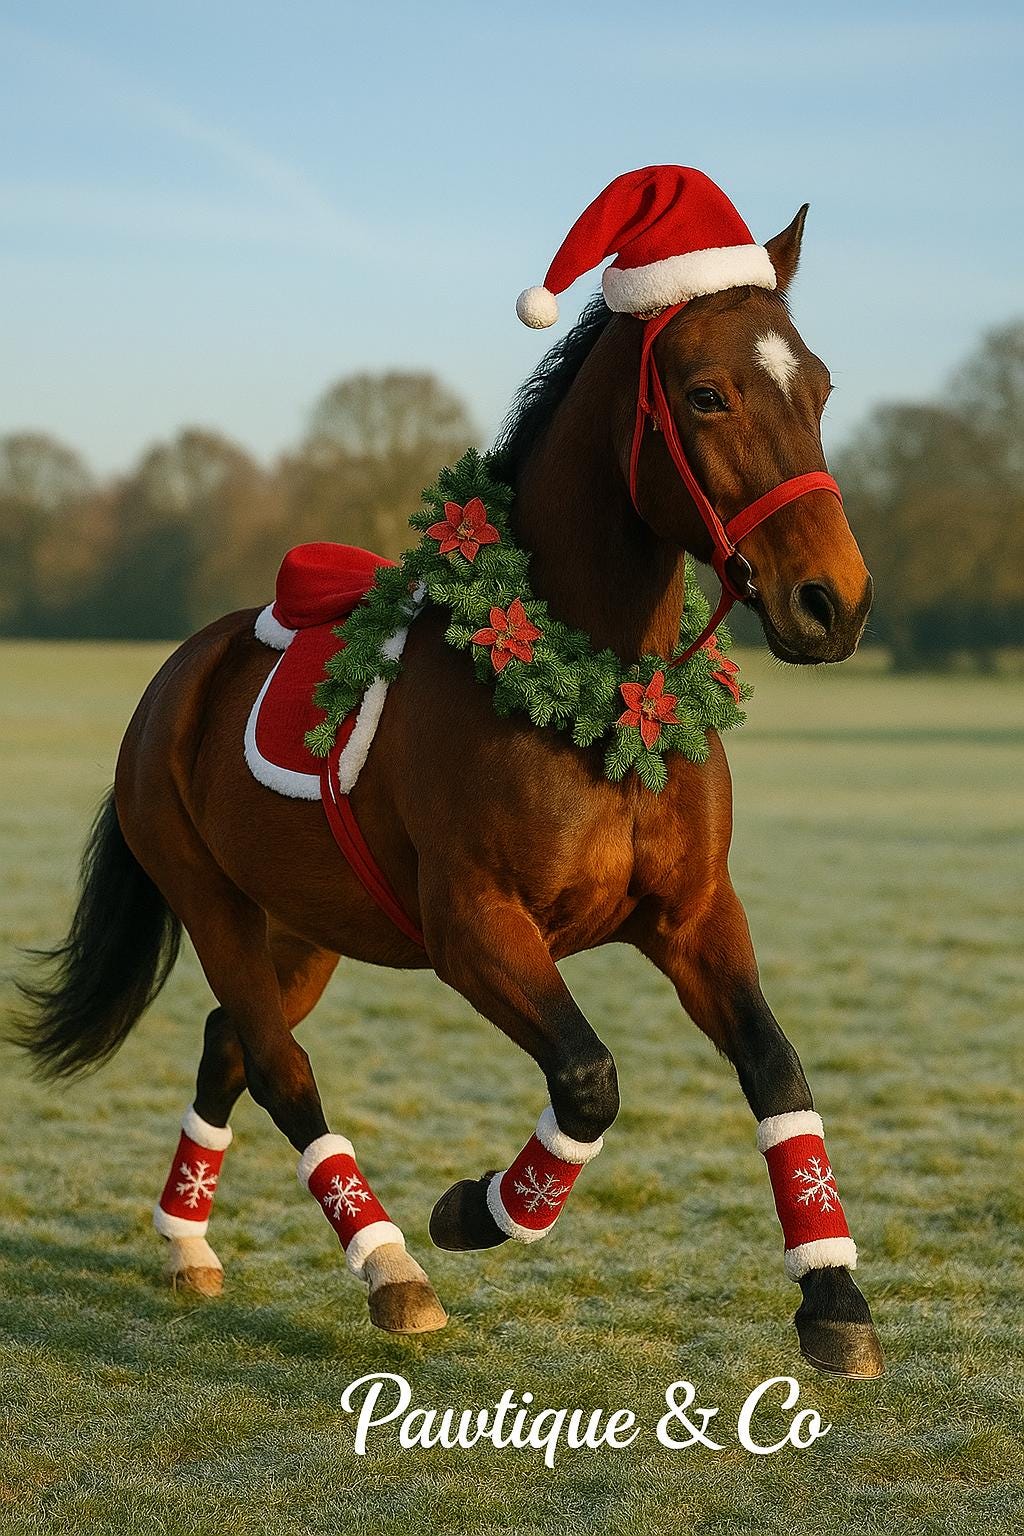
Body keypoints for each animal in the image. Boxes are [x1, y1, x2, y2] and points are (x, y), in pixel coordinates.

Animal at [13, 206, 882, 1376]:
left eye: (821, 389)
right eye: (706, 394)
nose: (834, 601)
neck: (601, 687)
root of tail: (175, 678)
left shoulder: (695, 916)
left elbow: (776, 1072)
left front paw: (832, 1296)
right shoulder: (474, 924)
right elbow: (589, 1079)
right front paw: (481, 1210)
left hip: (302, 928)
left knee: (230, 1044)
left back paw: (186, 1242)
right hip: (214, 904)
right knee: (280, 1067)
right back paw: (391, 1269)